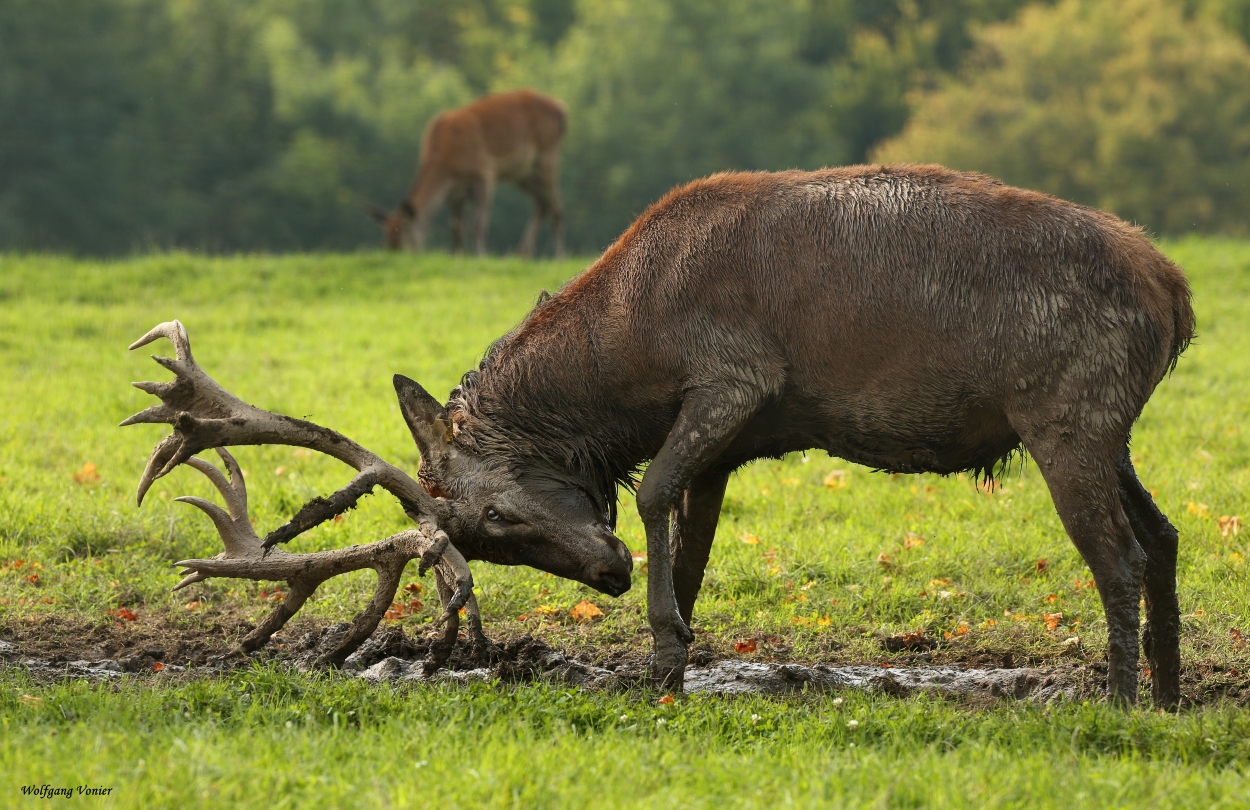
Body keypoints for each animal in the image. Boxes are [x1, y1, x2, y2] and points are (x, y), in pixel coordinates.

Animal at [126, 162, 1190, 700]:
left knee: (1121, 555)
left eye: (489, 521)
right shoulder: (732, 431)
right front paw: (674, 656)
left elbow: (652, 492)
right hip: (1113, 428)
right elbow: (696, 530)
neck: (626, 353)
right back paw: (1173, 693)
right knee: (1167, 533)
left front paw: (660, 648)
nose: (605, 574)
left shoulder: (733, 376)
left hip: (1067, 412)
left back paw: (1117, 698)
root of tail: (1175, 295)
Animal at [365, 87, 565, 256]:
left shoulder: (483, 172)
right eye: (385, 241)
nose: (395, 255)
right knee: (542, 202)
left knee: (556, 205)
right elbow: (456, 228)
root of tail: (562, 111)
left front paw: (480, 256)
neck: (447, 162)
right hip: (523, 172)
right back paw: (522, 253)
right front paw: (457, 257)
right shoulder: (454, 192)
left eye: (403, 240)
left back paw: (558, 255)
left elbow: (477, 225)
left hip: (548, 155)